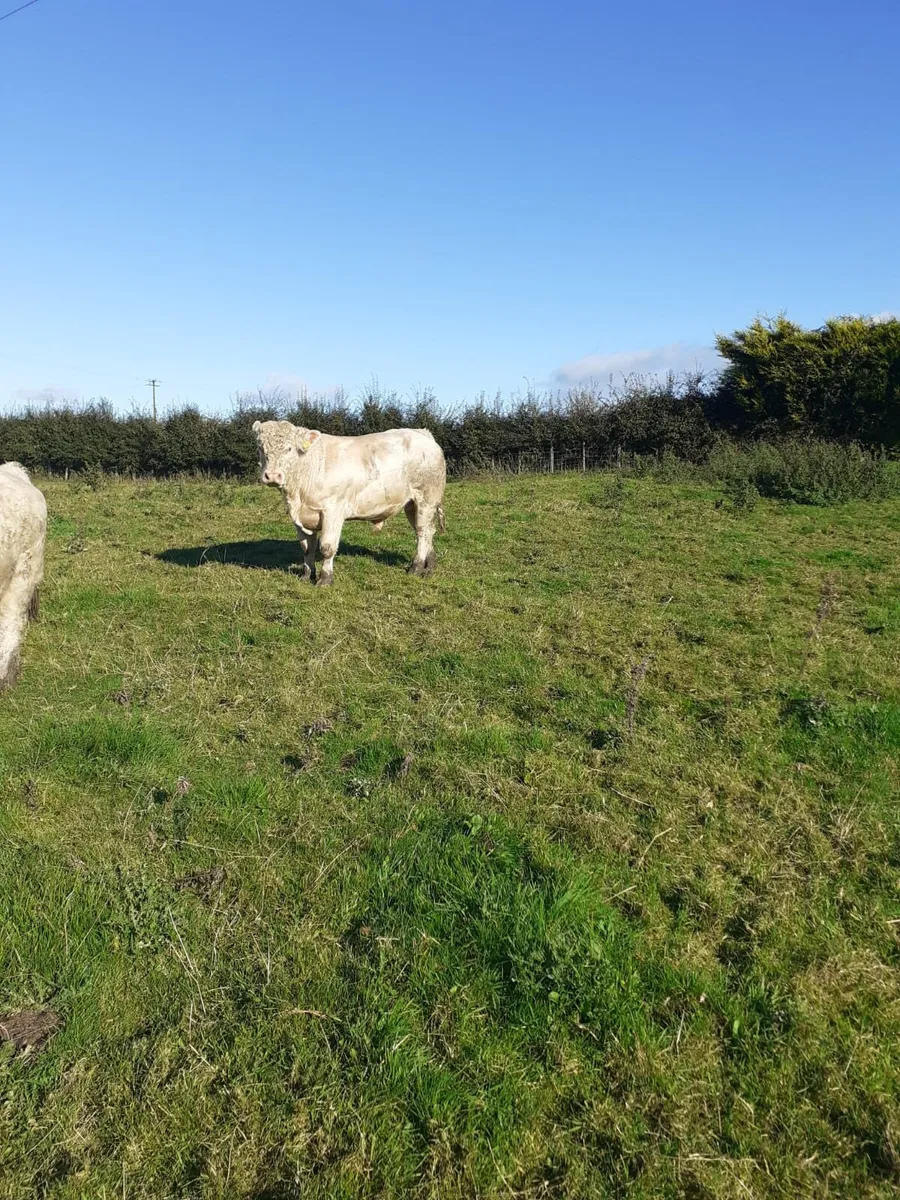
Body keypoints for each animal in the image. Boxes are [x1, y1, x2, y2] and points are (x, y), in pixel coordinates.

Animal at [252, 420, 446, 587]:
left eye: (289, 448)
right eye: (260, 447)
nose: (272, 476)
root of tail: (422, 433)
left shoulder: (332, 511)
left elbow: (327, 547)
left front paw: (325, 579)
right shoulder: (300, 516)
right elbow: (307, 548)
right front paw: (307, 576)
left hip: (426, 498)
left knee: (422, 532)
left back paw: (417, 567)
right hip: (412, 504)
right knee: (428, 531)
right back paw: (430, 566)